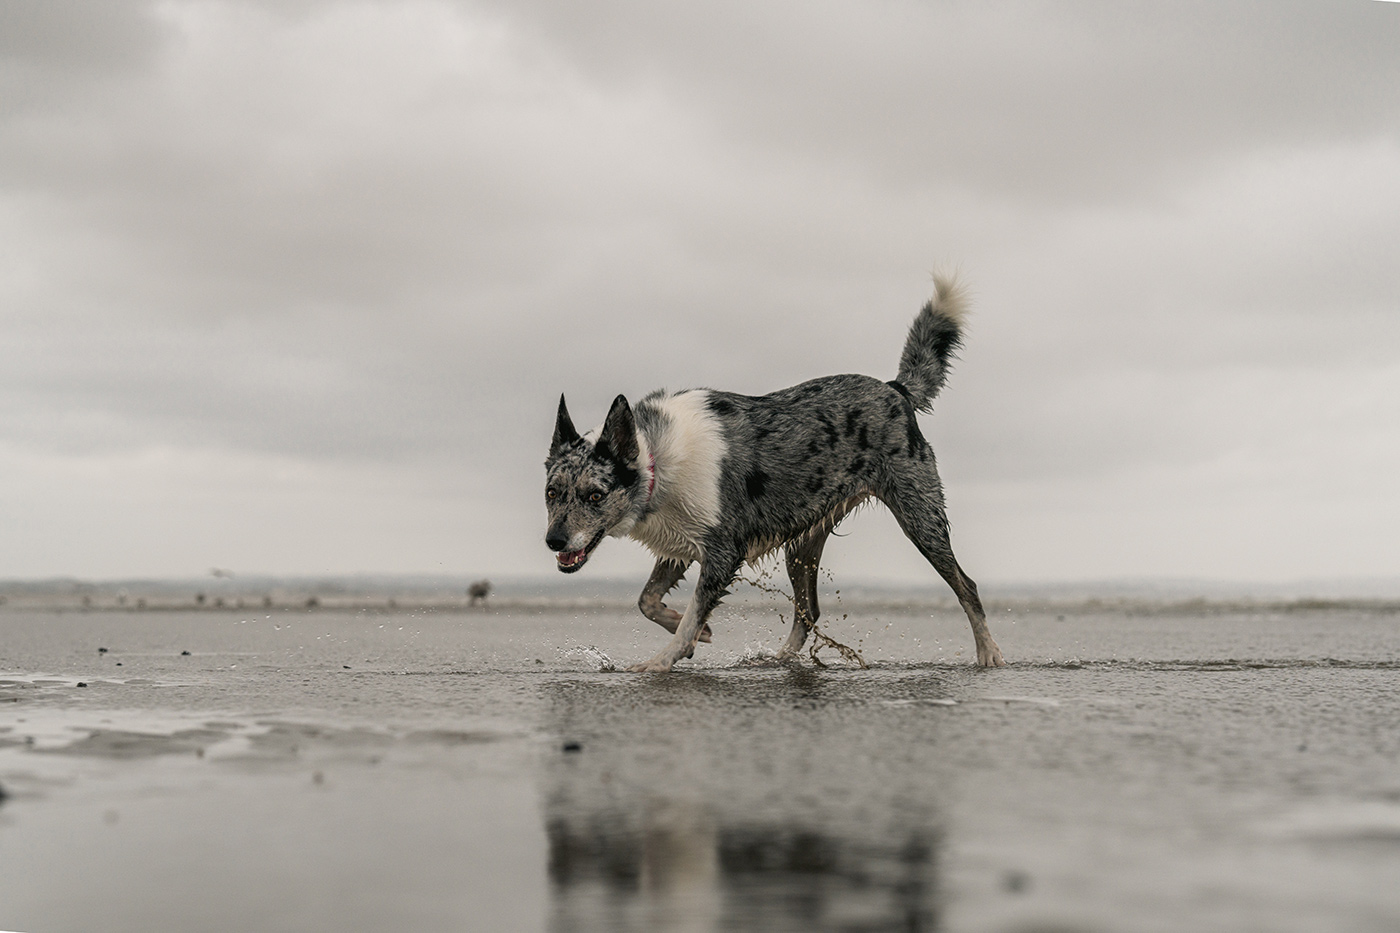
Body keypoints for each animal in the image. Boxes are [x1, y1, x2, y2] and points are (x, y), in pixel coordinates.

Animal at [540, 275, 1002, 669]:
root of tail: (895, 389)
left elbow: (690, 612)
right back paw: (780, 659)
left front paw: (663, 659)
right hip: (803, 541)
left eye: (595, 495)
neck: (656, 461)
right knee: (809, 607)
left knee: (966, 585)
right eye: (551, 493)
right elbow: (647, 600)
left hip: (919, 516)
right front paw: (698, 634)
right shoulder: (681, 543)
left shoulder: (723, 551)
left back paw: (989, 652)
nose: (553, 541)